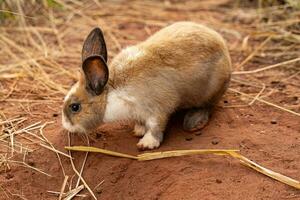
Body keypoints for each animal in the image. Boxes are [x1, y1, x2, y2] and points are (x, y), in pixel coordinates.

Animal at [62, 21, 232, 150]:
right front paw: (138, 130)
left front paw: (147, 143)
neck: (111, 93)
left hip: (211, 90)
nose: (65, 126)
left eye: (75, 107)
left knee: (208, 105)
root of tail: (224, 47)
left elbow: (155, 127)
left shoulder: (158, 109)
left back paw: (194, 122)